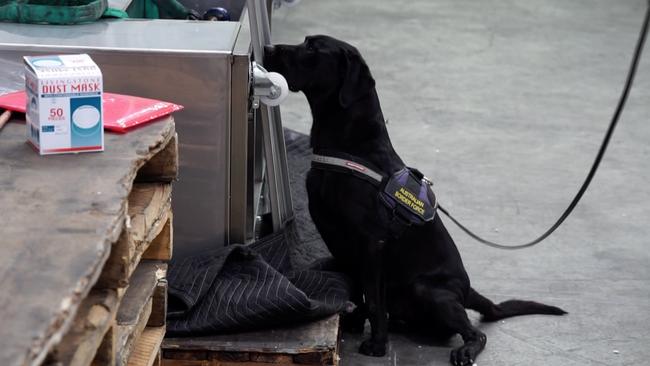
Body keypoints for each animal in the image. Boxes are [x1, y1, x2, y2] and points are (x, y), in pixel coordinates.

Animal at [264, 35, 560, 366]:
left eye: (313, 48)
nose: (268, 49)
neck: (350, 147)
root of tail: (468, 290)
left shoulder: (372, 243)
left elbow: (373, 297)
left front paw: (377, 344)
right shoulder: (346, 247)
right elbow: (357, 290)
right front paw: (355, 324)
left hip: (427, 290)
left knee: (474, 333)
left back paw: (463, 351)